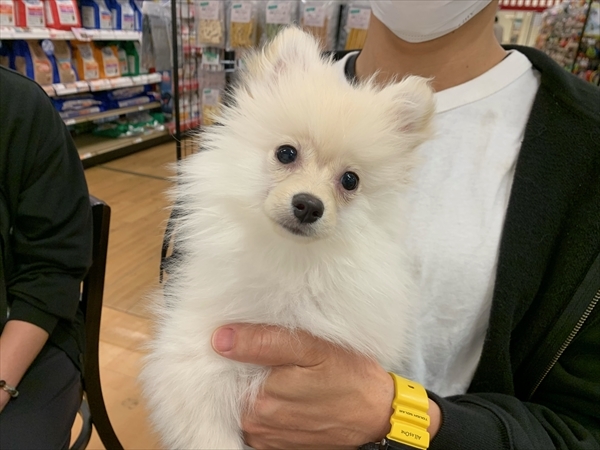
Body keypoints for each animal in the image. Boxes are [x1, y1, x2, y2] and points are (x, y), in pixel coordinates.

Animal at [140, 27, 435, 449]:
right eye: (286, 153)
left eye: (350, 180)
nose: (309, 205)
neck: (290, 261)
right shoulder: (196, 361)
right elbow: (211, 434)